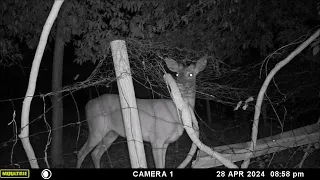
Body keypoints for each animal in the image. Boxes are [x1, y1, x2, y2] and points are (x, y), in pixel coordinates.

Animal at [77, 56, 208, 169]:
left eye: (191, 74)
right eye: (176, 74)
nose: (179, 85)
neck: (176, 116)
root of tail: (88, 105)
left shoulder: (165, 142)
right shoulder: (156, 138)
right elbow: (158, 165)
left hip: (111, 133)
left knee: (95, 154)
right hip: (96, 128)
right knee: (81, 152)